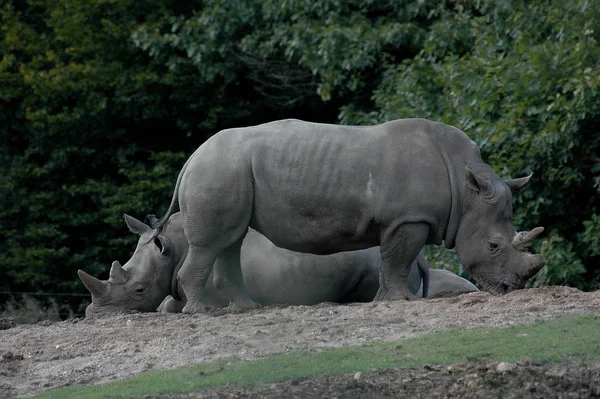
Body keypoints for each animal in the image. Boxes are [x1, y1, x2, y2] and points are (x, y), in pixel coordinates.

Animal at [145, 117, 544, 314]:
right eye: (493, 246)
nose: (511, 288)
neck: (465, 189)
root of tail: (192, 158)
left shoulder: (401, 219)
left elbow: (391, 260)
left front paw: (382, 301)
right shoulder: (409, 218)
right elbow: (399, 259)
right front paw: (402, 302)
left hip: (226, 169)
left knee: (231, 239)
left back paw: (244, 308)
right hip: (218, 170)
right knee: (212, 242)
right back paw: (200, 313)